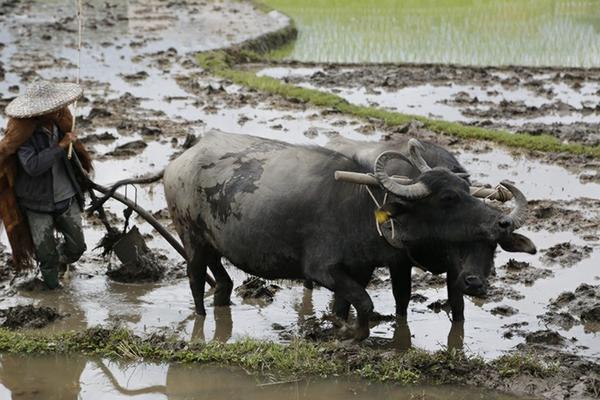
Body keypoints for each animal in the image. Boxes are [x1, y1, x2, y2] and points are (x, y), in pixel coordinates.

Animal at [163, 130, 536, 340]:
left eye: (465, 189)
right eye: (447, 198)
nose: (500, 222)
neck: (362, 209)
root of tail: (181, 160)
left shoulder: (360, 269)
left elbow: (349, 304)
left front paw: (338, 328)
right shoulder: (322, 270)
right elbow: (366, 303)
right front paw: (354, 333)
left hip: (212, 241)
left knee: (222, 279)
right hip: (190, 237)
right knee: (195, 279)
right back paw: (200, 321)